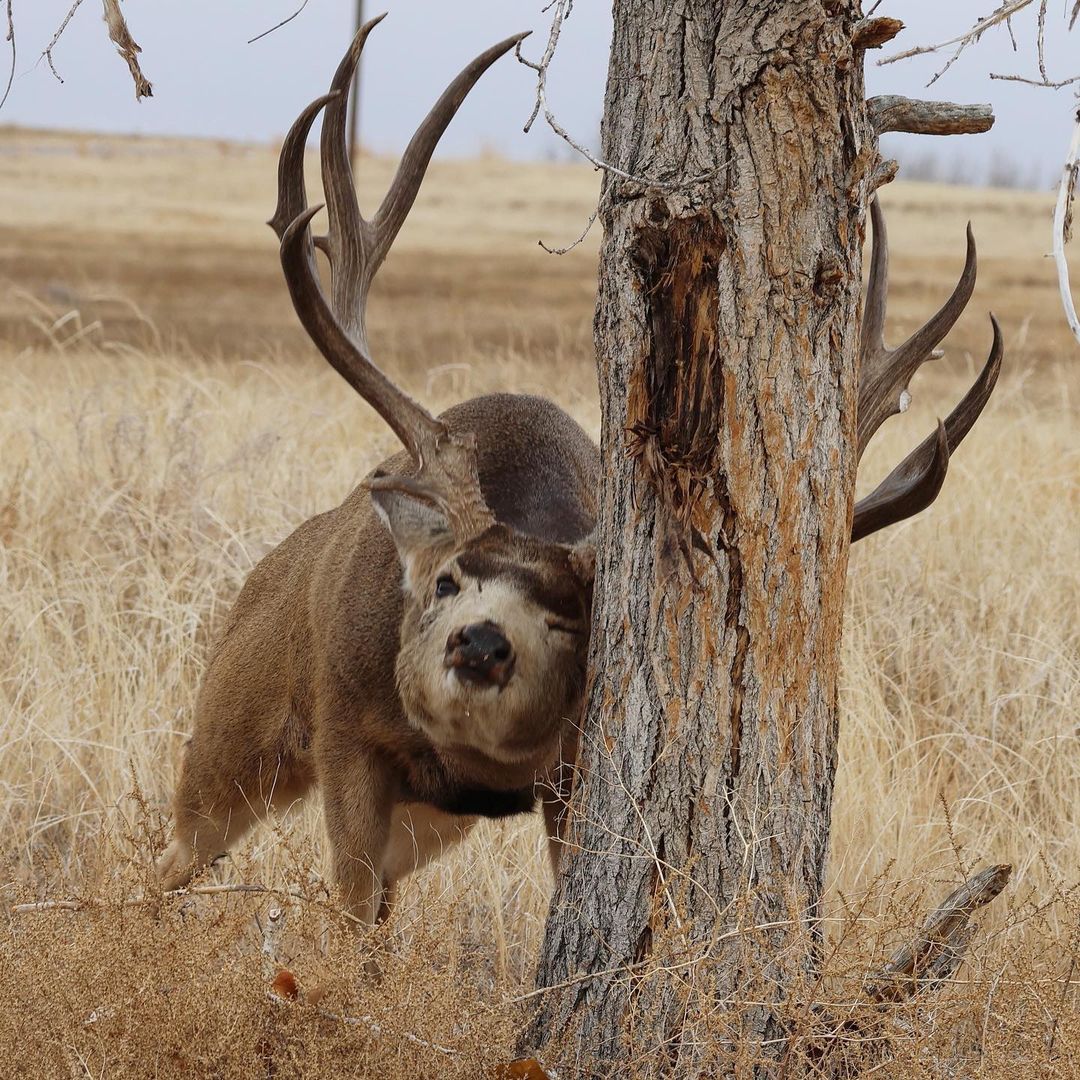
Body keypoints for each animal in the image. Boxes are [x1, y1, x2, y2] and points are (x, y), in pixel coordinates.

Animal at [157, 16, 1002, 928]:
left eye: (567, 620)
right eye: (447, 581)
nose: (482, 643)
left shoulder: (570, 777)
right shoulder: (348, 733)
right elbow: (347, 914)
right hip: (229, 729)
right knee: (172, 852)